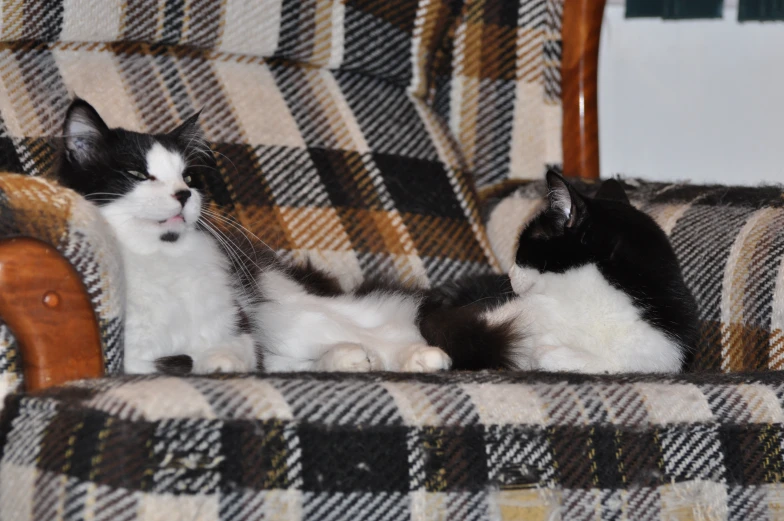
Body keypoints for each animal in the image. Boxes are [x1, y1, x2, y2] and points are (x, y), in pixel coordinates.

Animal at [56, 98, 454, 374]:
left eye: (188, 178)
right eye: (138, 174)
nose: (184, 195)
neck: (162, 257)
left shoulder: (241, 329)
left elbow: (230, 353)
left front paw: (218, 362)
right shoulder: (136, 355)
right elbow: (170, 361)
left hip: (291, 312)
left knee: (389, 321)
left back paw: (422, 357)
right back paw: (350, 359)